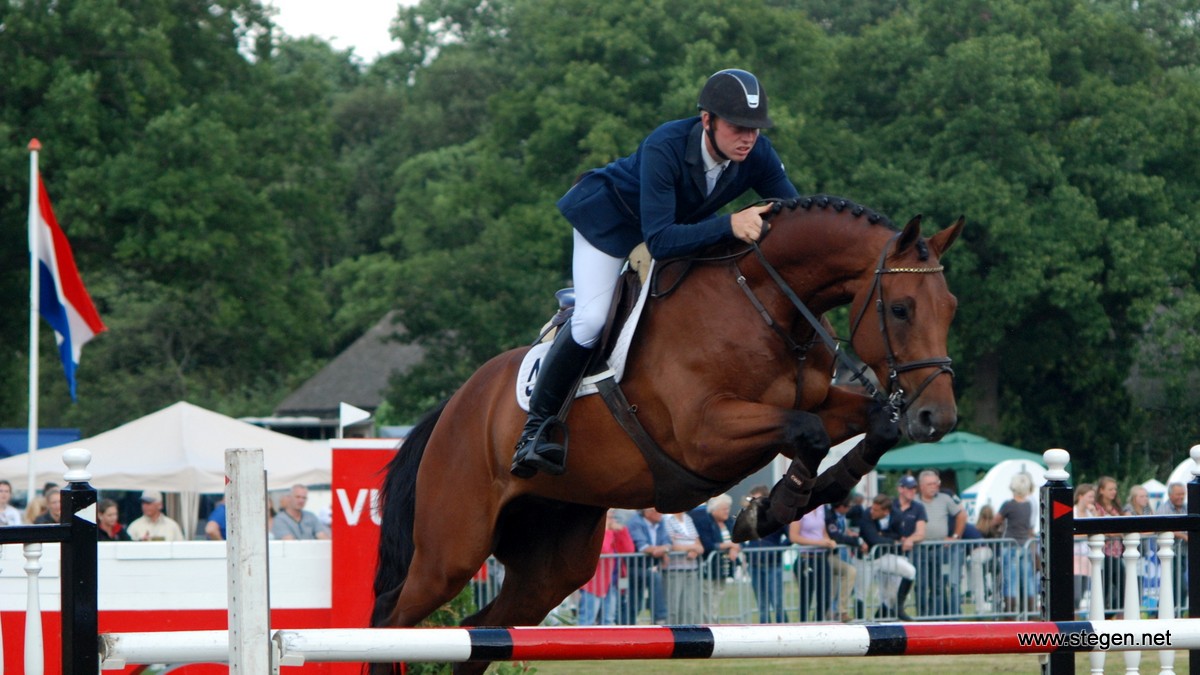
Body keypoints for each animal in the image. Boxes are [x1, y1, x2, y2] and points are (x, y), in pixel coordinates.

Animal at [369, 194, 960, 672]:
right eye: (901, 309)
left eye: (950, 308)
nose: (939, 418)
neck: (767, 304)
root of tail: (454, 406)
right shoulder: (705, 435)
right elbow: (808, 432)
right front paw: (771, 508)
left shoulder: (817, 401)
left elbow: (873, 425)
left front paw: (801, 497)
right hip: (451, 551)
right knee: (390, 622)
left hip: (552, 561)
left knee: (481, 634)